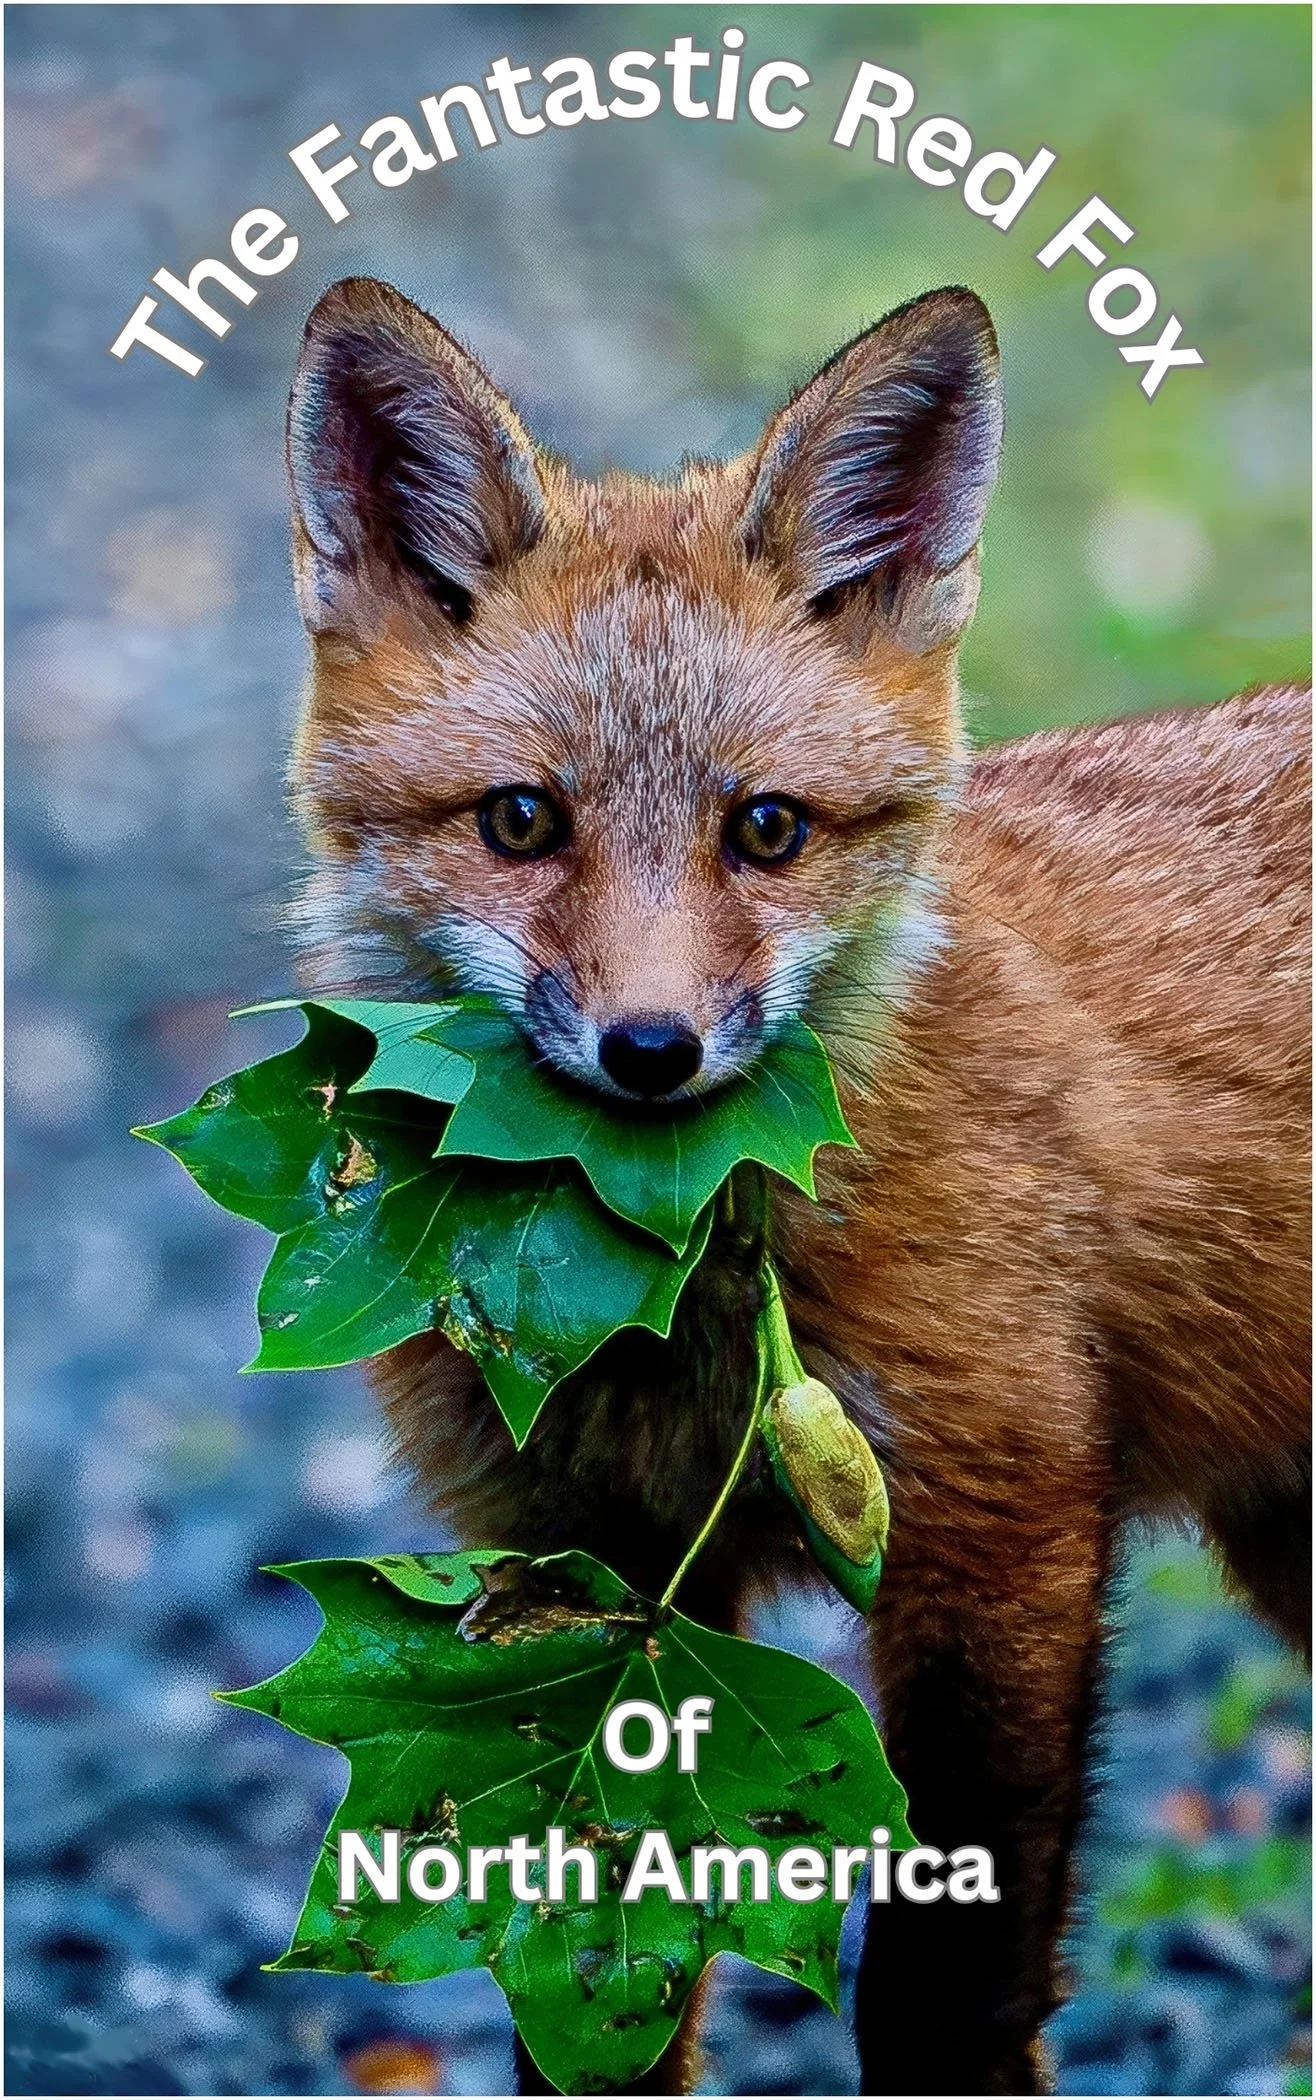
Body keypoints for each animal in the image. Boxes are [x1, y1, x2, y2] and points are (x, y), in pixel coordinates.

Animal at [282, 274, 1310, 2097]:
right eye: (520, 822)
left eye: (766, 830)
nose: (652, 1053)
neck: (673, 1315)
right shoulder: (584, 1584)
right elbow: (589, 1997)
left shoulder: (995, 1525)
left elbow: (944, 1990)